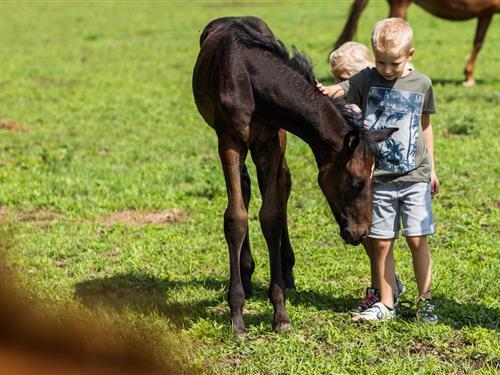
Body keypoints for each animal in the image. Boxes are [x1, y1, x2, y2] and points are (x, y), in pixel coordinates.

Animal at [191, 16, 394, 338]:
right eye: (356, 181)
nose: (361, 232)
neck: (251, 75)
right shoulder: (229, 141)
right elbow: (236, 218)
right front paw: (237, 317)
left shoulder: (271, 138)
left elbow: (271, 216)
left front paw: (280, 313)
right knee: (246, 189)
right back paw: (246, 275)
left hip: (279, 137)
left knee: (281, 183)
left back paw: (285, 271)